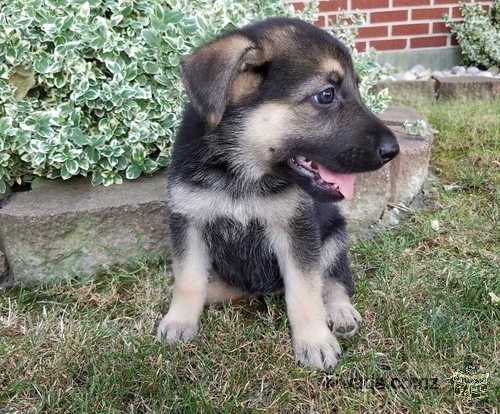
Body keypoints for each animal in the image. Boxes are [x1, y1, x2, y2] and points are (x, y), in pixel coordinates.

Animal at [158, 17, 400, 370]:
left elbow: (305, 291)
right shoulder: (188, 222)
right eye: (326, 95)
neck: (241, 172)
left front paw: (314, 341)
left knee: (335, 280)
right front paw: (179, 321)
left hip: (334, 234)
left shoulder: (297, 231)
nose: (393, 150)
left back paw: (339, 310)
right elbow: (188, 280)